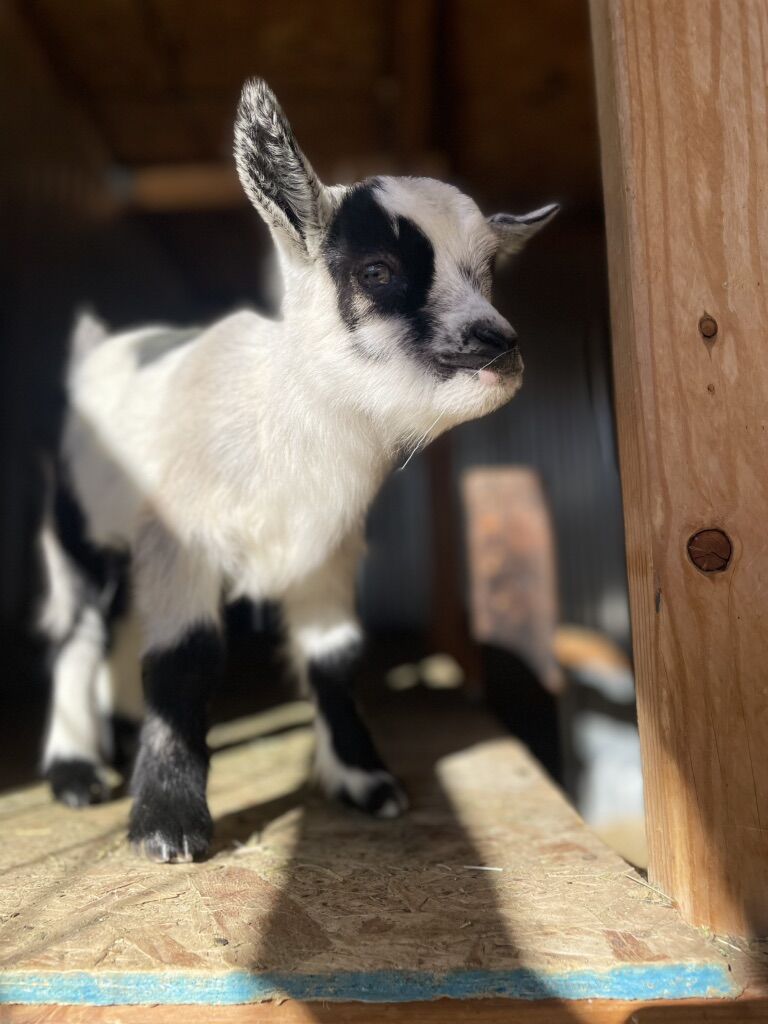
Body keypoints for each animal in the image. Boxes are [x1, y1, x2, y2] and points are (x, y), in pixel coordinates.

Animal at [38, 79, 559, 862]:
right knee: (79, 633)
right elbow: (184, 661)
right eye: (377, 271)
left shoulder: (326, 552)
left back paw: (120, 738)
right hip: (82, 533)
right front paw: (167, 822)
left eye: (489, 272)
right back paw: (75, 772)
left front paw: (365, 782)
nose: (497, 343)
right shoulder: (185, 541)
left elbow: (333, 660)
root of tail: (96, 350)